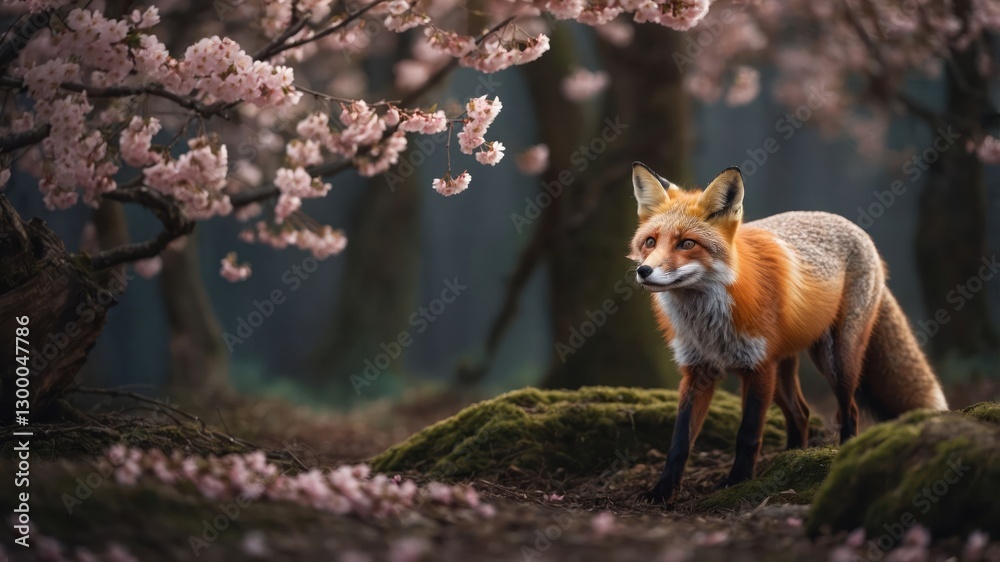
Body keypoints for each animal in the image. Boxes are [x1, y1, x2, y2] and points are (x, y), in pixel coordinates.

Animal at [628, 162, 948, 505]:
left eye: (687, 243)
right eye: (650, 242)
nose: (644, 271)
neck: (709, 325)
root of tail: (856, 229)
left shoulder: (758, 367)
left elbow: (748, 434)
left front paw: (737, 482)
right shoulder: (698, 370)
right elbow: (679, 441)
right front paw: (662, 489)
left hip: (835, 360)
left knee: (848, 410)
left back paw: (843, 454)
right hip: (783, 370)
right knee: (802, 413)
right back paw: (791, 457)